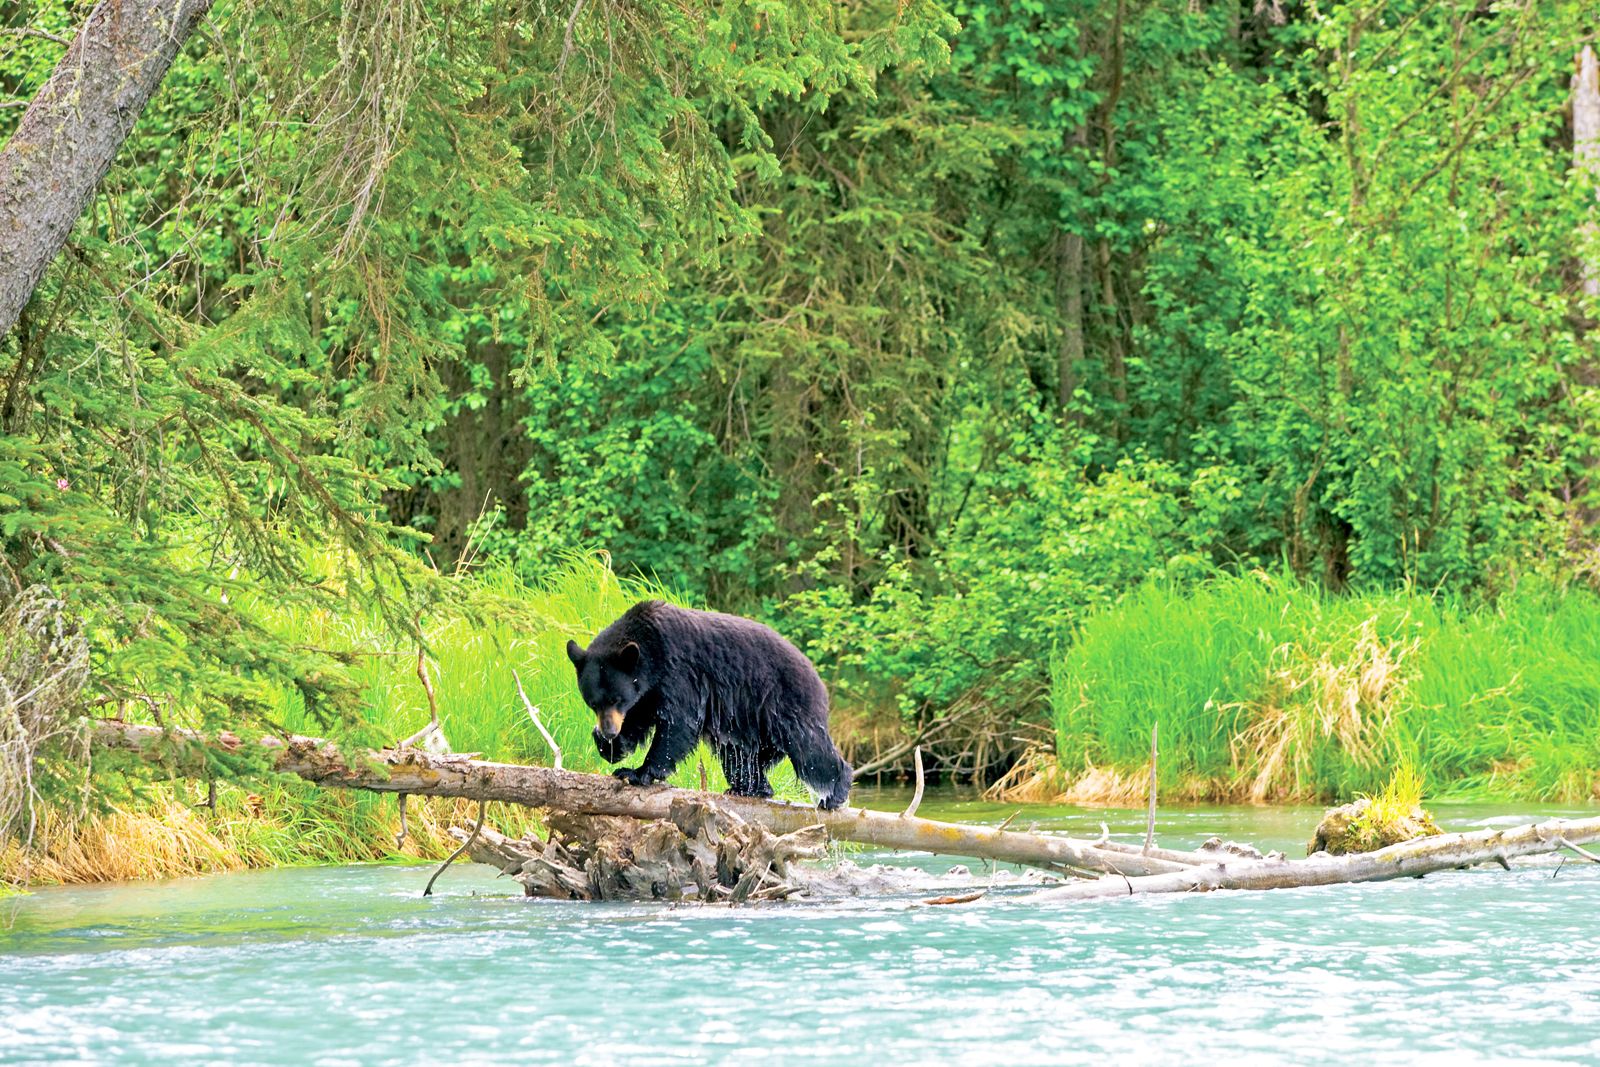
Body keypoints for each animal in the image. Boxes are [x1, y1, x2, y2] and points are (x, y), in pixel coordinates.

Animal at [569, 601, 857, 809]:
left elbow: (677, 723)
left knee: (808, 747)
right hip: (747, 723)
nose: (608, 731)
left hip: (785, 701)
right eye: (592, 703)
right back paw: (749, 787)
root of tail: (814, 673)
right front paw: (612, 747)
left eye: (616, 699)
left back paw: (835, 792)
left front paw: (637, 772)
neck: (652, 651)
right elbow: (640, 718)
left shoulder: (679, 672)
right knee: (737, 755)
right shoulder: (649, 690)